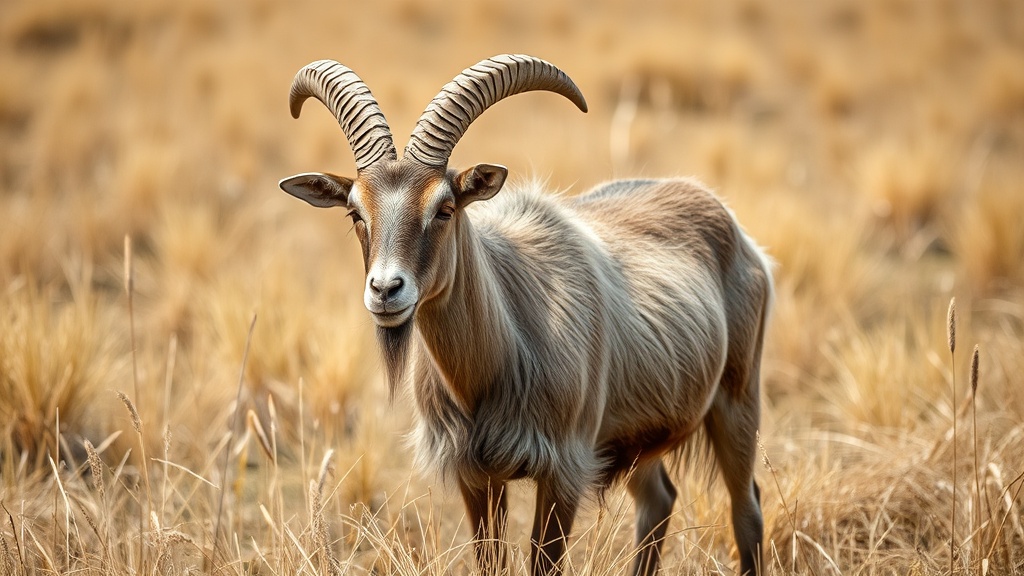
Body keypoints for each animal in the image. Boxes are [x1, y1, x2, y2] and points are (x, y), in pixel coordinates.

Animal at [279, 54, 772, 576]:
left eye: (444, 207)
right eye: (355, 212)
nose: (386, 290)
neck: (496, 364)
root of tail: (731, 226)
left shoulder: (562, 474)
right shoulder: (477, 478)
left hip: (737, 404)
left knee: (747, 510)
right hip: (642, 444)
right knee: (658, 502)